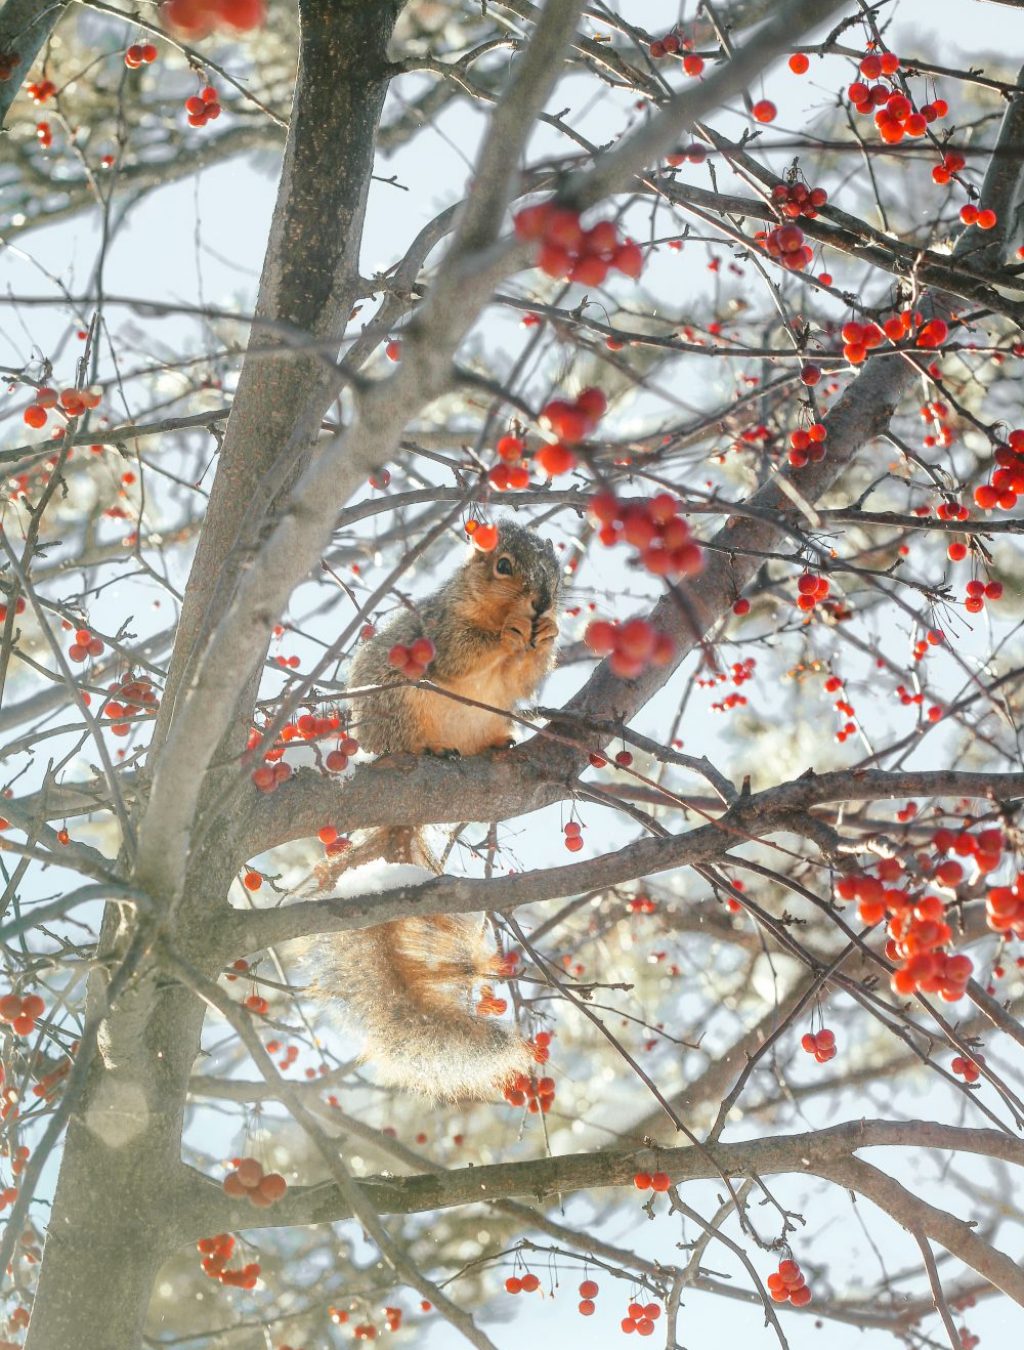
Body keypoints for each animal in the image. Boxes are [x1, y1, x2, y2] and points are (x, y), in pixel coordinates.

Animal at [306, 515, 561, 1096]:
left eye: (558, 570)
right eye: (503, 565)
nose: (541, 602)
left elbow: (525, 675)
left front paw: (549, 634)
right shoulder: (437, 631)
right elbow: (464, 650)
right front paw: (508, 633)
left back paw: (497, 744)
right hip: (399, 703)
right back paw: (428, 751)